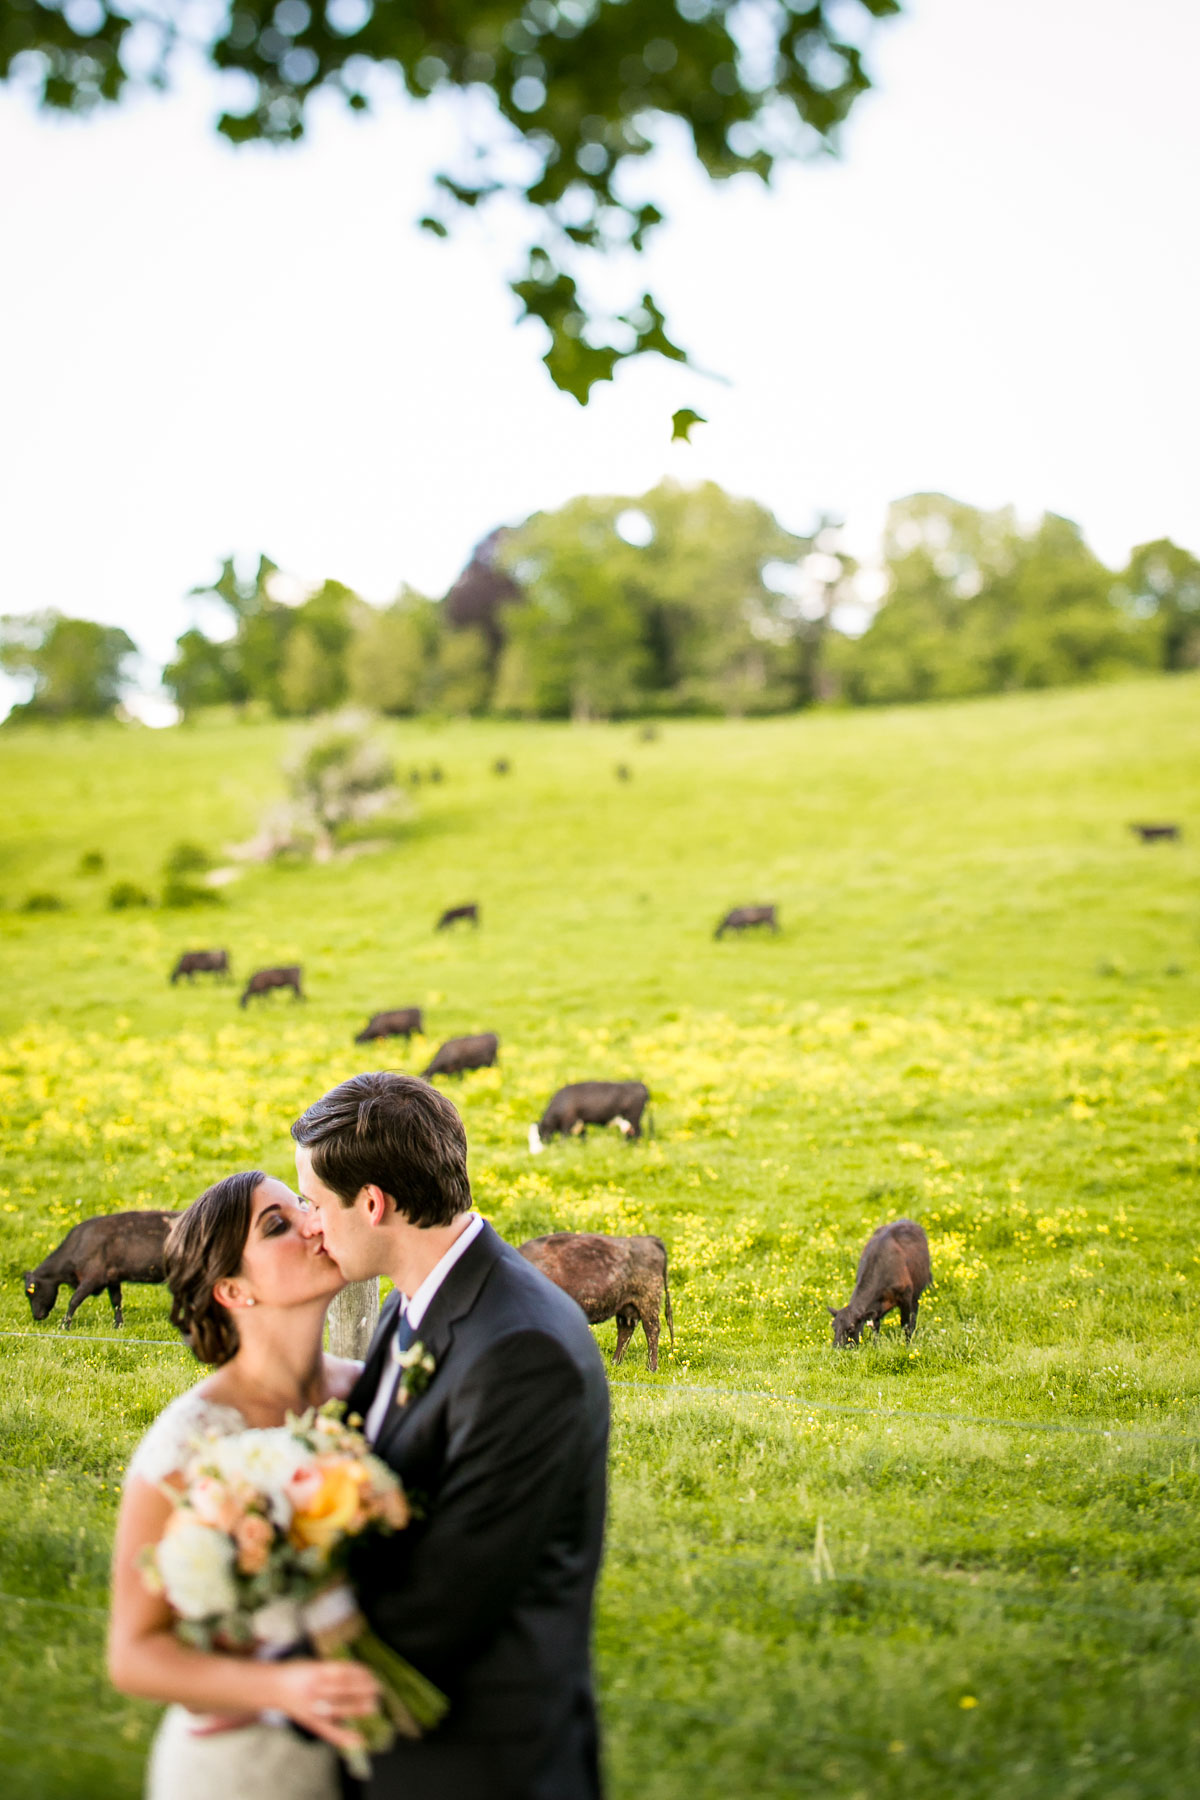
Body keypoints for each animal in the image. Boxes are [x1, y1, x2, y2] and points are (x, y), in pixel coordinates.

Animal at [23, 1210, 176, 1329]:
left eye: (31, 1291)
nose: (36, 1316)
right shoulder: (112, 1278)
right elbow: (116, 1301)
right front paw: (118, 1325)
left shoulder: (92, 1277)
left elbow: (74, 1300)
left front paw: (64, 1325)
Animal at [518, 1232, 674, 1372]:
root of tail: (650, 1240)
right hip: (627, 1306)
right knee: (626, 1330)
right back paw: (615, 1363)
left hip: (648, 1303)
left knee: (651, 1330)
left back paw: (650, 1368)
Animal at [828, 1218, 932, 1347]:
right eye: (833, 1326)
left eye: (851, 1328)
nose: (836, 1347)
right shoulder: (875, 1310)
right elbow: (875, 1329)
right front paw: (875, 1346)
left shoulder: (906, 1297)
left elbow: (906, 1324)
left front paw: (907, 1345)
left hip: (916, 1292)